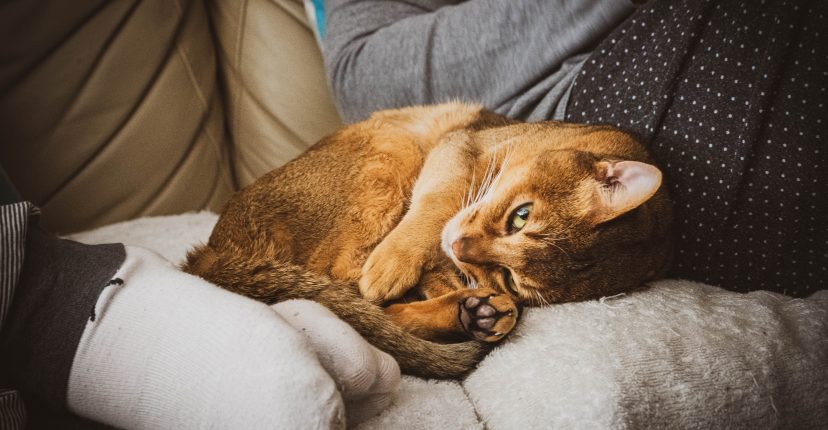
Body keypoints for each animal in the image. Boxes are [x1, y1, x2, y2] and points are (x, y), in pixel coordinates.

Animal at [183, 102, 672, 378]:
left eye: (511, 277)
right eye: (521, 216)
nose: (459, 248)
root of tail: (213, 249)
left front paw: (464, 292)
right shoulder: (457, 147)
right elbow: (437, 203)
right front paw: (398, 261)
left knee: (363, 307)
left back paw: (478, 314)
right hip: (390, 151)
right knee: (346, 288)